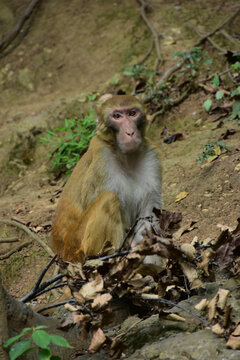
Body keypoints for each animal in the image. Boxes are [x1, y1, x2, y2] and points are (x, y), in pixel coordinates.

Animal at [51, 95, 162, 264]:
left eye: (132, 113)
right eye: (117, 116)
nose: (130, 132)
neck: (126, 157)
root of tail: (60, 250)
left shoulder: (151, 156)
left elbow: (147, 214)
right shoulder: (102, 160)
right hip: (77, 244)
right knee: (109, 198)